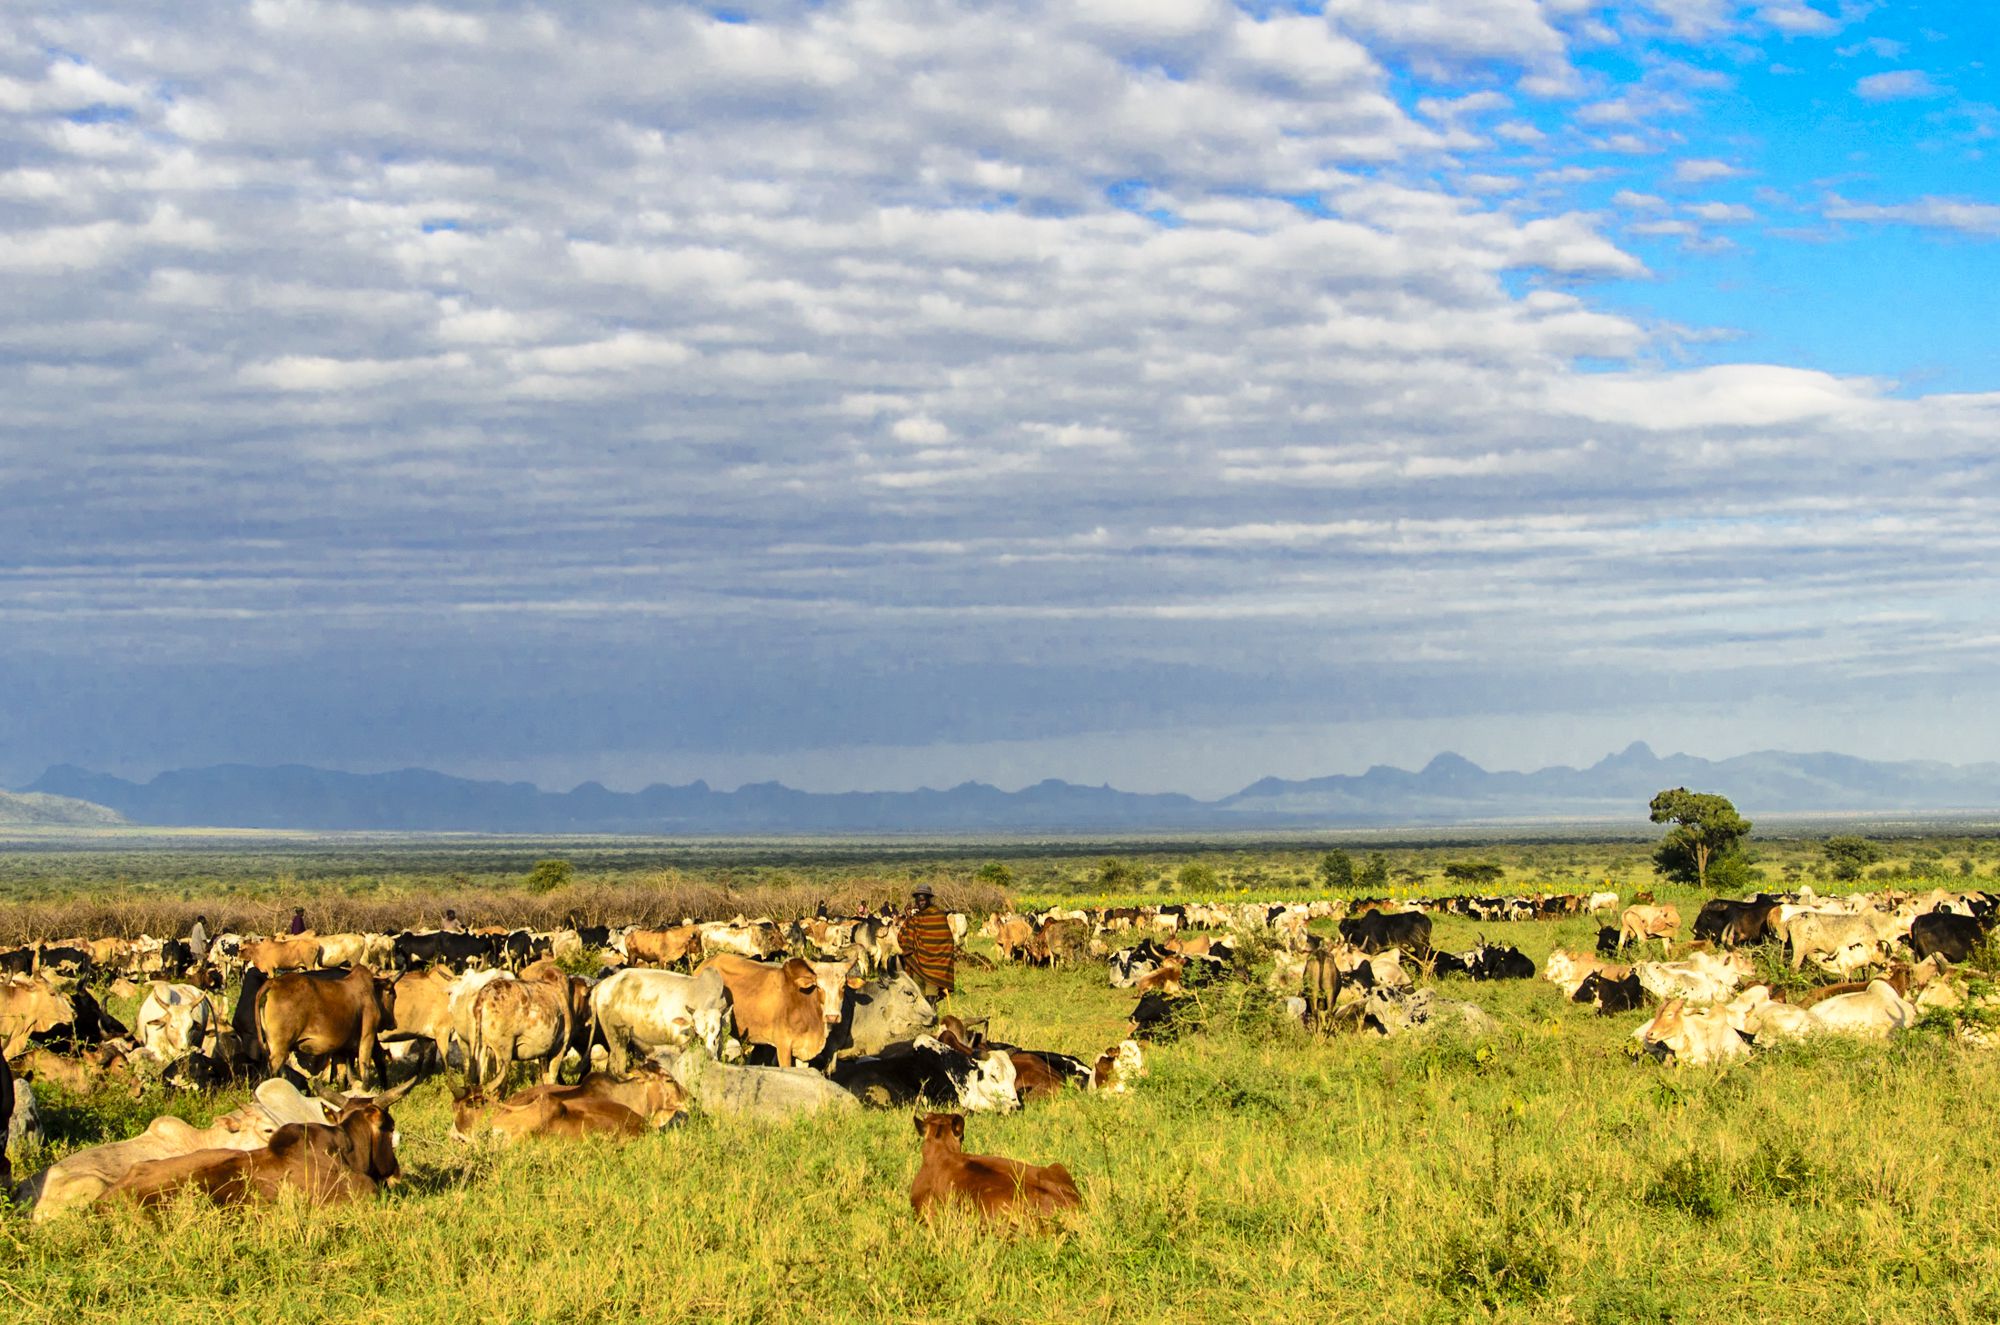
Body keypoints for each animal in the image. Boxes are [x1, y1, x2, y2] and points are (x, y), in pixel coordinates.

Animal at [256, 964, 392, 1088]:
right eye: (392, 994)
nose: (391, 1023)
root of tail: (273, 982)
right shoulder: (368, 1036)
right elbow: (365, 1070)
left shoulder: (342, 1049)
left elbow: (341, 1076)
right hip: (279, 1050)